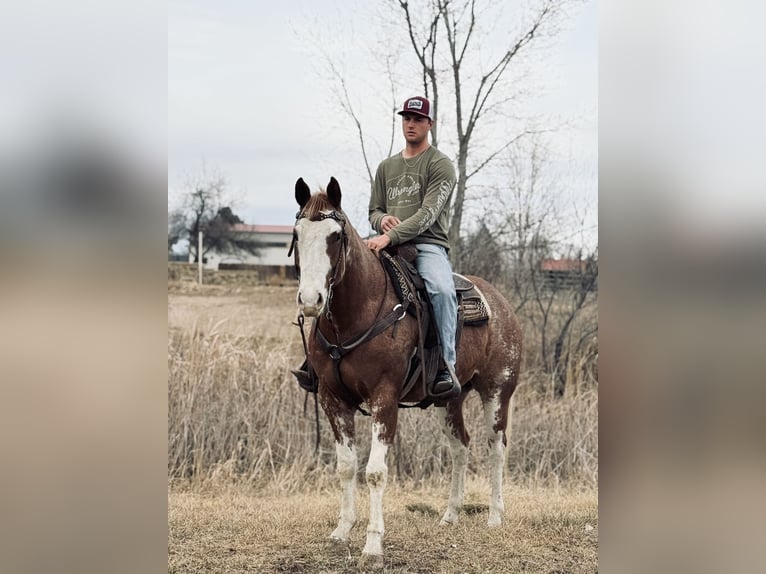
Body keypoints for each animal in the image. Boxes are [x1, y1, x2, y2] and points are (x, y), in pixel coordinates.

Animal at [291, 177, 522, 568]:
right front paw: (341, 531)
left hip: (497, 392)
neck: (357, 313)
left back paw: (494, 516)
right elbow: (346, 466)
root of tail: (502, 305)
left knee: (497, 447)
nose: (311, 300)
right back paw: (451, 515)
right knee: (461, 447)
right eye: (297, 232)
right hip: (450, 399)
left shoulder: (384, 399)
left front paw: (372, 546)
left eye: (335, 236)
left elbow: (375, 472)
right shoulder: (332, 399)